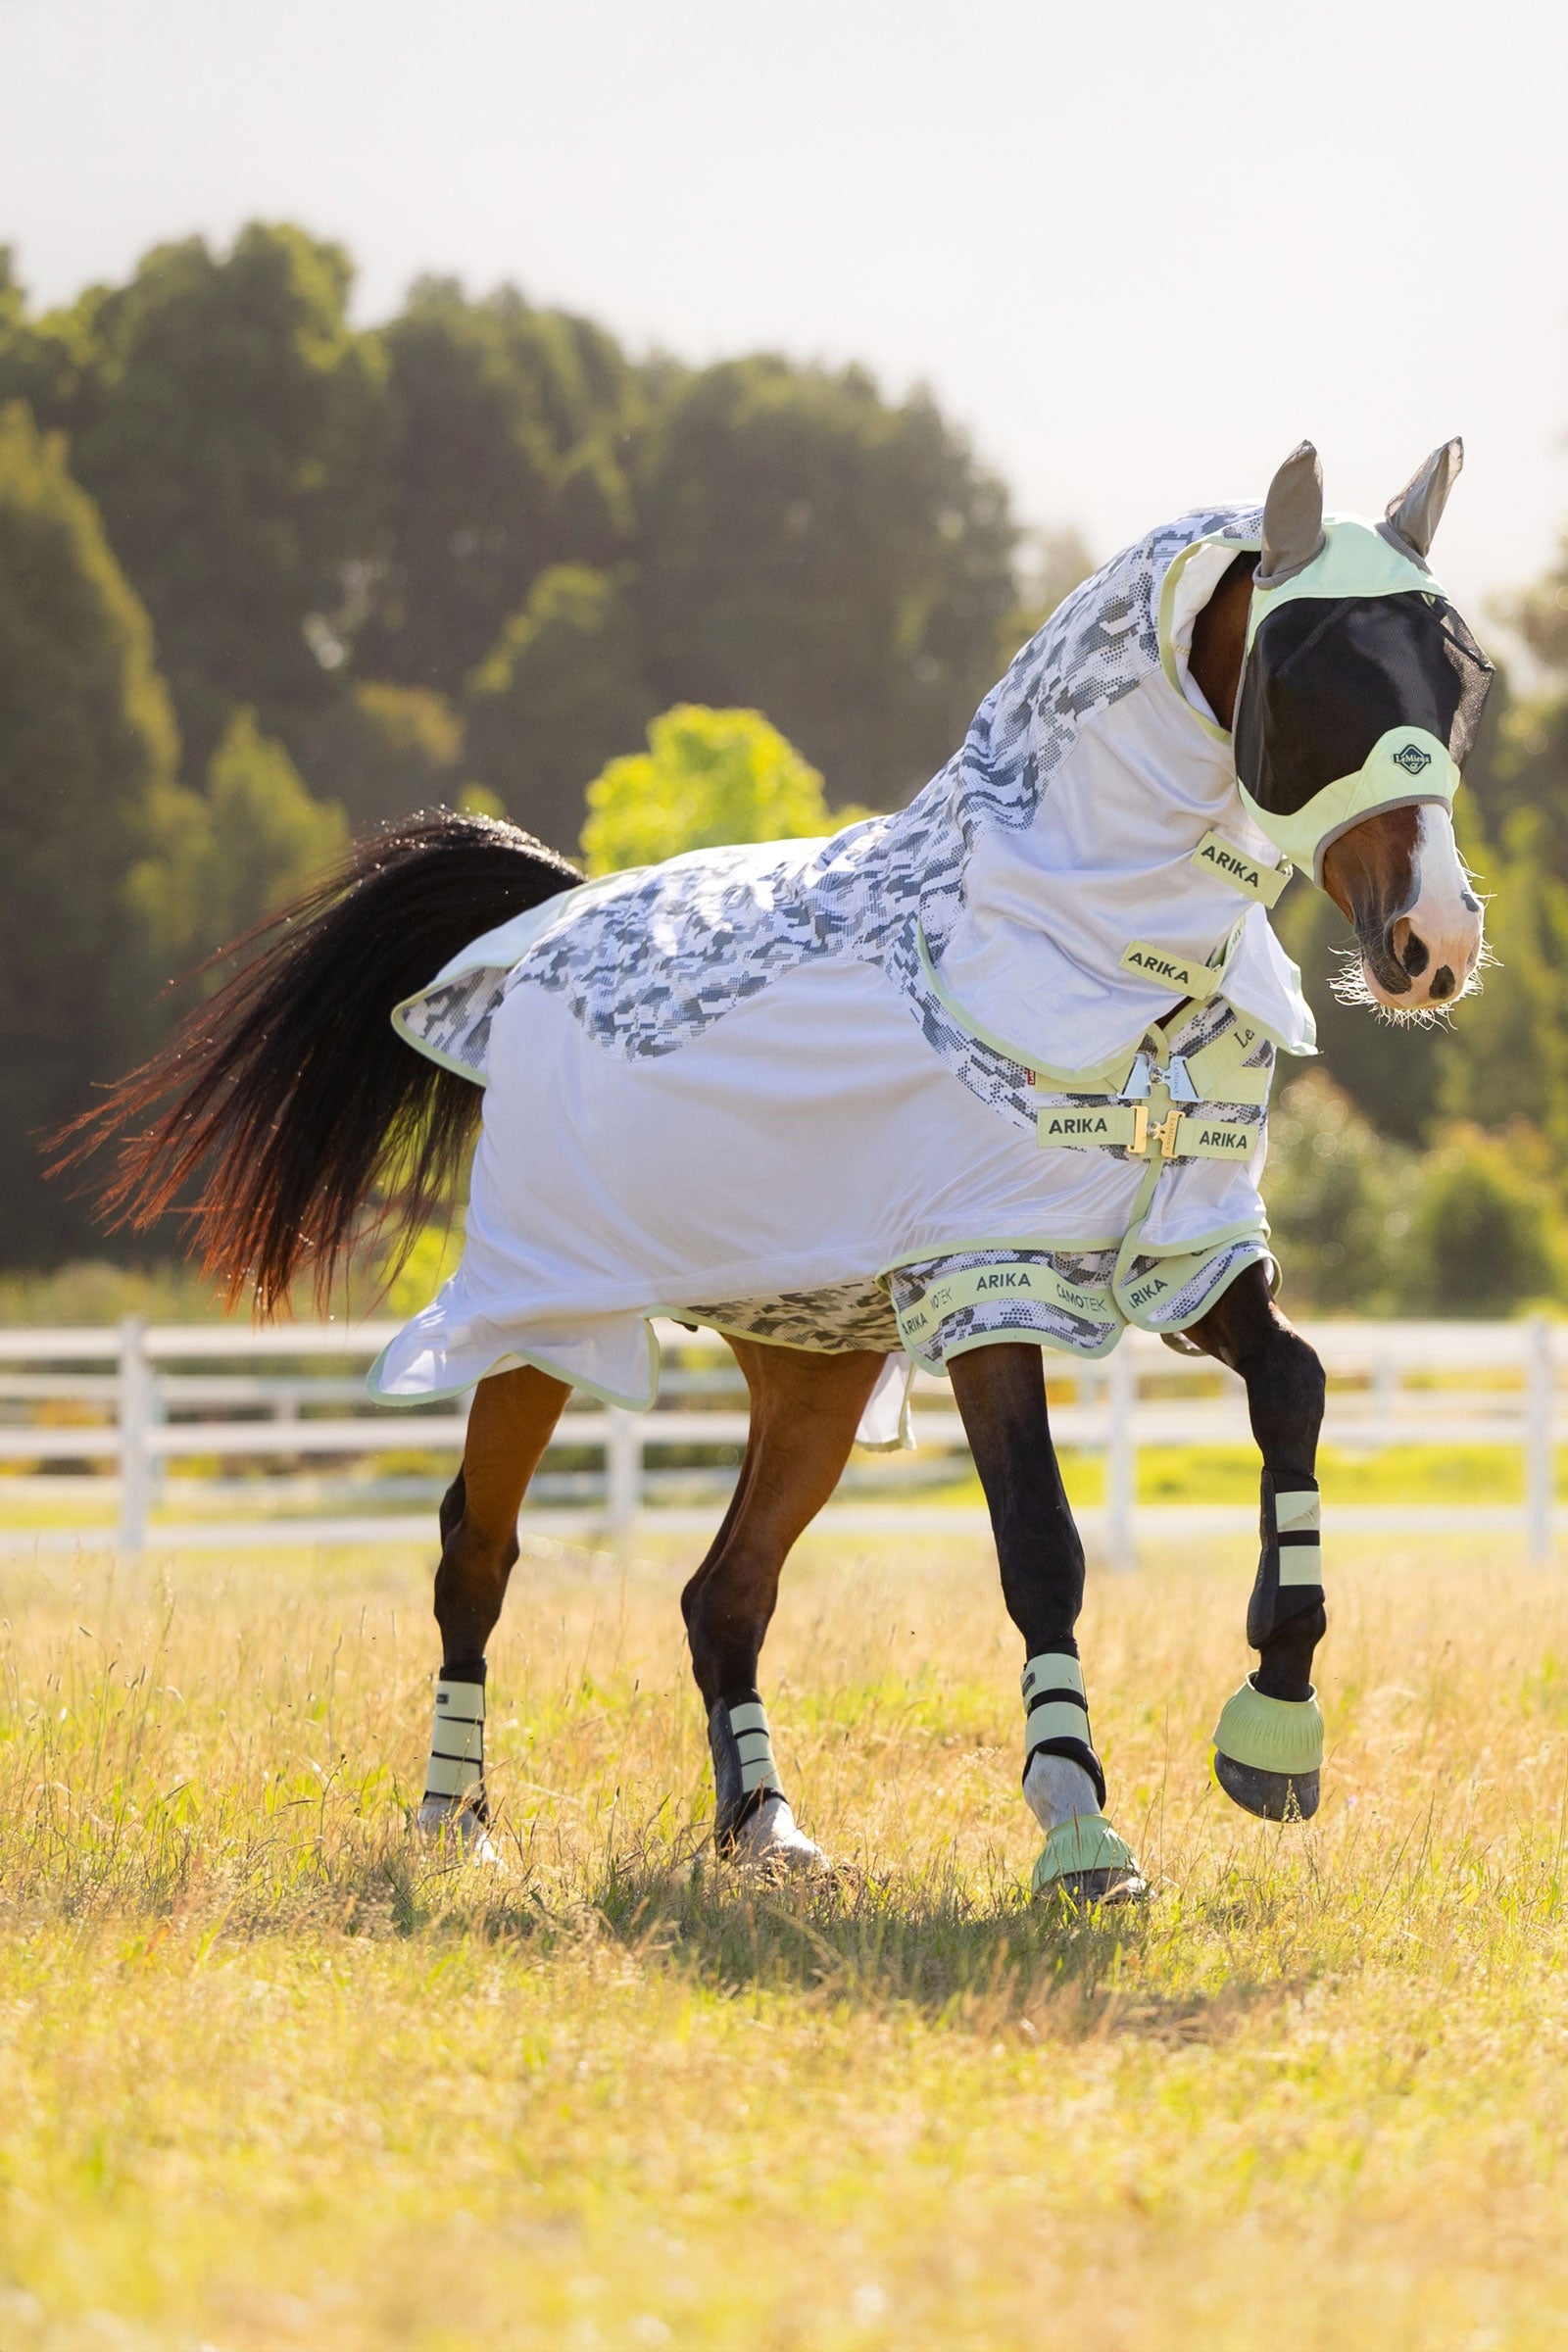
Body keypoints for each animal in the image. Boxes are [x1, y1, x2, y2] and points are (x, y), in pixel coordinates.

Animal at [64, 439, 1493, 1902]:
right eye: (1307, 674)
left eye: (1460, 680)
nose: (1433, 943)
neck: (1093, 960)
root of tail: (550, 916)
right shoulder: (984, 1282)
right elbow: (1040, 1544)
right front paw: (1080, 1829)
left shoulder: (1179, 1257)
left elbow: (1297, 1389)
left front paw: (1274, 1729)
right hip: (541, 1321)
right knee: (477, 1551)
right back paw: (456, 1825)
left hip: (813, 1371)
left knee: (724, 1589)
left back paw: (765, 1830)